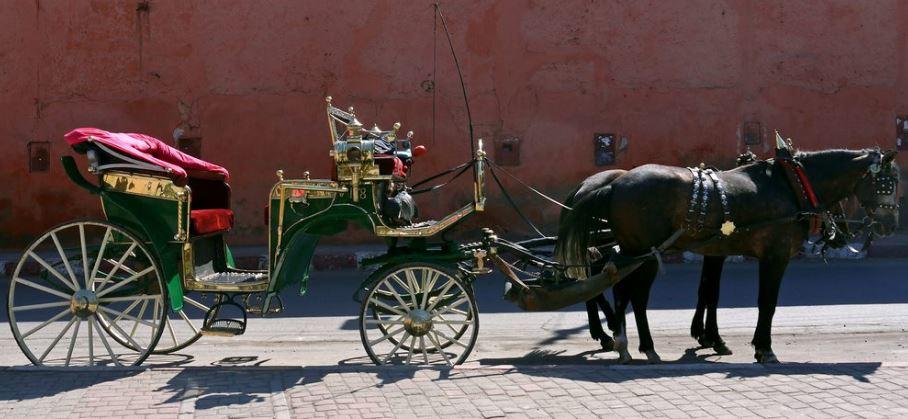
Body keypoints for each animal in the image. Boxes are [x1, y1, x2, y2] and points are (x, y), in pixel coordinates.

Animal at [556, 148, 896, 364]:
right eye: (887, 183)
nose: (889, 225)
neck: (791, 186)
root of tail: (612, 185)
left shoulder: (717, 251)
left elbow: (709, 291)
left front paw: (709, 337)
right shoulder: (774, 256)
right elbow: (765, 302)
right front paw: (762, 348)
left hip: (632, 252)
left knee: (618, 292)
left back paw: (620, 340)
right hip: (644, 253)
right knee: (632, 296)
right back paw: (637, 345)